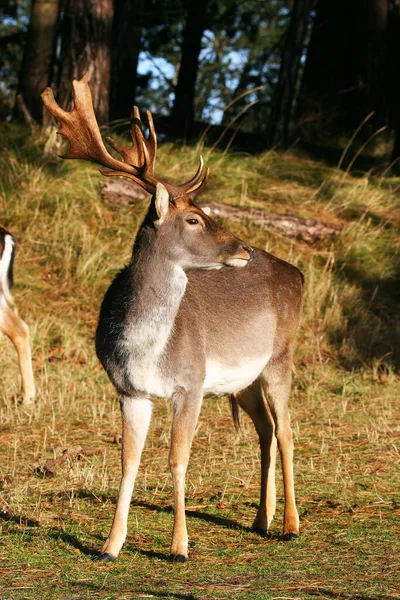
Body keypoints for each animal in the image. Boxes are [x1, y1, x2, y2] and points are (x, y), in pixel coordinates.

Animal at [41, 74, 304, 564]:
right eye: (195, 218)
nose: (243, 248)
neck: (147, 350)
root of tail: (297, 271)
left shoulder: (192, 381)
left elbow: (177, 459)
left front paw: (180, 547)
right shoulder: (128, 390)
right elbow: (128, 463)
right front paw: (110, 547)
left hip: (282, 355)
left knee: (287, 432)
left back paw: (292, 526)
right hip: (245, 378)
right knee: (265, 429)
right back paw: (262, 520)